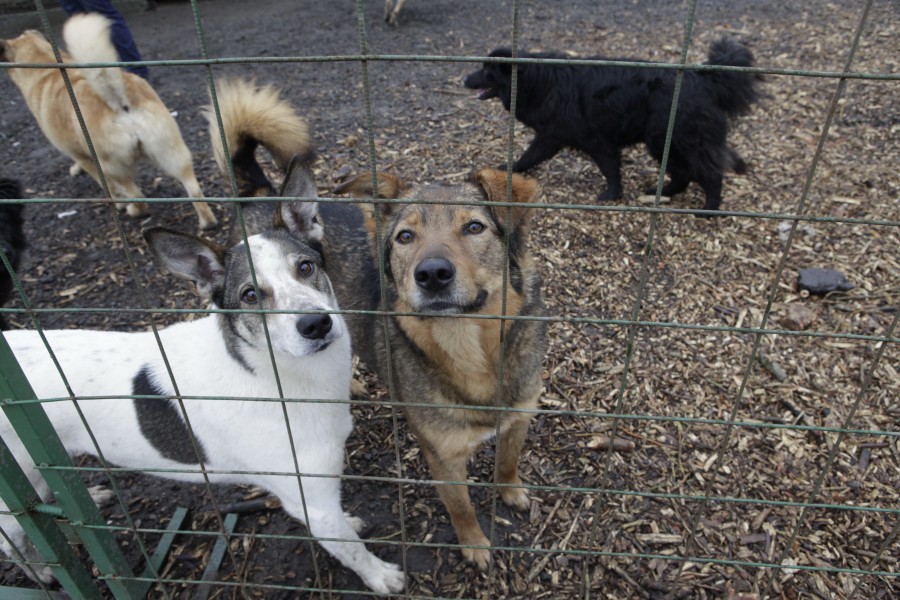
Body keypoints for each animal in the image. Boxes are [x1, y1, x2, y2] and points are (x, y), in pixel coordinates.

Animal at [0, 14, 216, 230]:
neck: (46, 67)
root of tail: (116, 98)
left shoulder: (83, 157)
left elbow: (108, 187)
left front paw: (117, 202)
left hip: (112, 165)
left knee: (136, 196)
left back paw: (133, 210)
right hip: (172, 152)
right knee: (194, 190)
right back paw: (207, 222)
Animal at [0, 161, 404, 596]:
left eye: (306, 267)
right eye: (249, 295)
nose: (316, 324)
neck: (272, 374)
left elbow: (347, 530)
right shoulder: (310, 501)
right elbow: (349, 548)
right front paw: (381, 575)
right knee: (15, 536)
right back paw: (40, 571)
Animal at [326, 168, 544, 568]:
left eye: (474, 227)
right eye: (405, 236)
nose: (431, 274)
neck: (470, 353)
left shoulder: (520, 416)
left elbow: (508, 460)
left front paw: (511, 491)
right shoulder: (443, 457)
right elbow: (461, 507)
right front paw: (474, 546)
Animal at [460, 38, 764, 213]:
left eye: (486, 70)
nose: (464, 79)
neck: (540, 81)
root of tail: (704, 78)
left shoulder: (577, 139)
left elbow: (604, 167)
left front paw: (611, 194)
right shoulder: (564, 137)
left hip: (676, 139)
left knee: (710, 175)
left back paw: (708, 208)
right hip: (665, 141)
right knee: (684, 173)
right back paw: (662, 193)